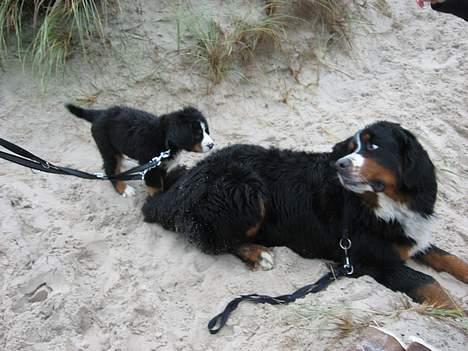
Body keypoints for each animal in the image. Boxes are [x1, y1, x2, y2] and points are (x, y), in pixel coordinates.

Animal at [66, 104, 215, 198]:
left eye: (206, 130)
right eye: (197, 134)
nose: (212, 145)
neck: (164, 137)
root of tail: (100, 113)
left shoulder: (160, 164)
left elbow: (162, 180)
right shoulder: (151, 166)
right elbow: (156, 186)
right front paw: (156, 199)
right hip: (107, 147)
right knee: (110, 169)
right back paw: (124, 189)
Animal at [143, 122, 468, 310]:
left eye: (373, 146)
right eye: (351, 148)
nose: (340, 165)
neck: (382, 204)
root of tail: (188, 181)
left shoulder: (410, 236)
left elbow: (450, 258)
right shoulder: (374, 261)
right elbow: (429, 283)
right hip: (246, 190)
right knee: (212, 239)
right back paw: (258, 253)